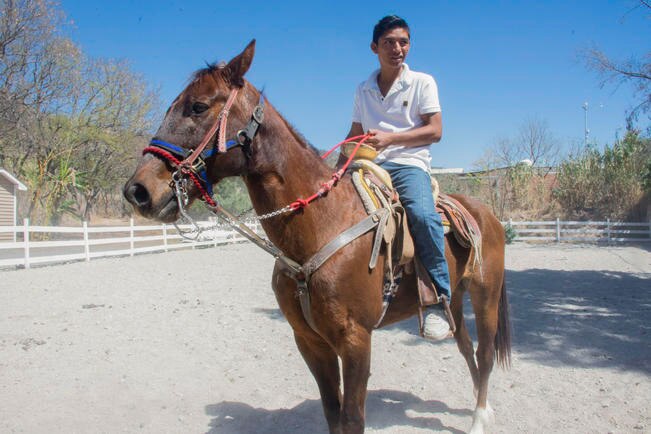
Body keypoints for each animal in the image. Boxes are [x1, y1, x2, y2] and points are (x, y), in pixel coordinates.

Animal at [123, 40, 511, 434]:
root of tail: (485, 213)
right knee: (464, 345)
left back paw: (480, 416)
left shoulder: (356, 340)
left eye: (198, 106)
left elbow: (352, 418)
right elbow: (331, 411)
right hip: (455, 296)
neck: (321, 224)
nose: (137, 191)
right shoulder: (310, 341)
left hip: (486, 293)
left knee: (484, 352)